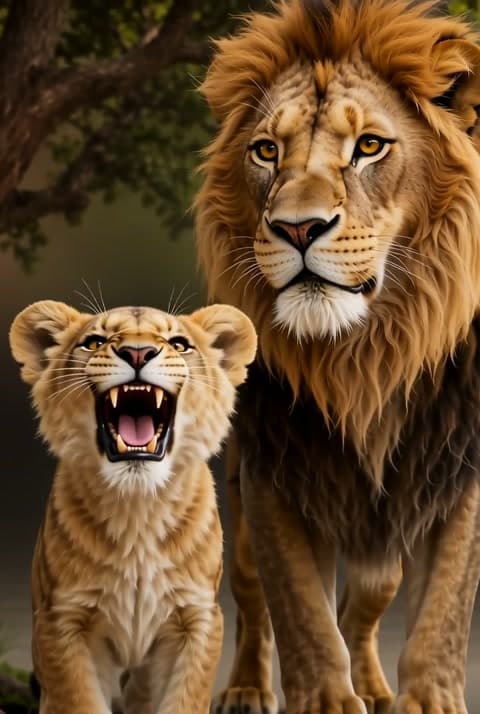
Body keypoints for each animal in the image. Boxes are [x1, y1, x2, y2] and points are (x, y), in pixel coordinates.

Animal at [9, 300, 257, 714]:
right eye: (94, 342)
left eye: (179, 344)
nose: (138, 353)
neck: (139, 508)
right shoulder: (62, 620)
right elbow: (79, 702)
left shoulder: (197, 618)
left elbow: (185, 700)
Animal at [195, 1, 480, 713]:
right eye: (267, 150)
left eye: (369, 146)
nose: (298, 228)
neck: (365, 355)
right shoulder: (273, 471)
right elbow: (300, 613)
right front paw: (325, 698)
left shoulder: (463, 469)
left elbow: (443, 611)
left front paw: (429, 699)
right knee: (252, 600)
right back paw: (247, 688)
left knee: (366, 602)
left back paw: (375, 688)